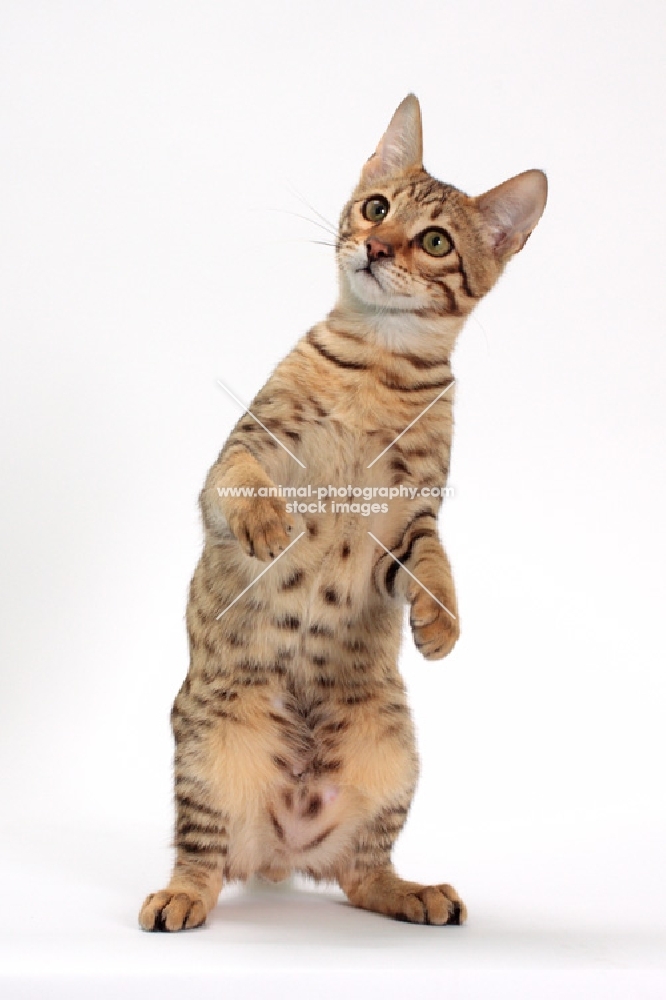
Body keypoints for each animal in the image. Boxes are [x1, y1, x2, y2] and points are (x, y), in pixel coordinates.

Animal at [137, 92, 544, 928]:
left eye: (433, 241)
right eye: (377, 206)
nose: (377, 246)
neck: (379, 365)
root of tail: (281, 847)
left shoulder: (412, 520)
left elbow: (435, 563)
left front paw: (443, 619)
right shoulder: (242, 450)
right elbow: (244, 483)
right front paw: (270, 525)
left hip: (392, 756)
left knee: (362, 871)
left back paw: (415, 892)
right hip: (206, 755)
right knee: (203, 856)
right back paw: (179, 898)